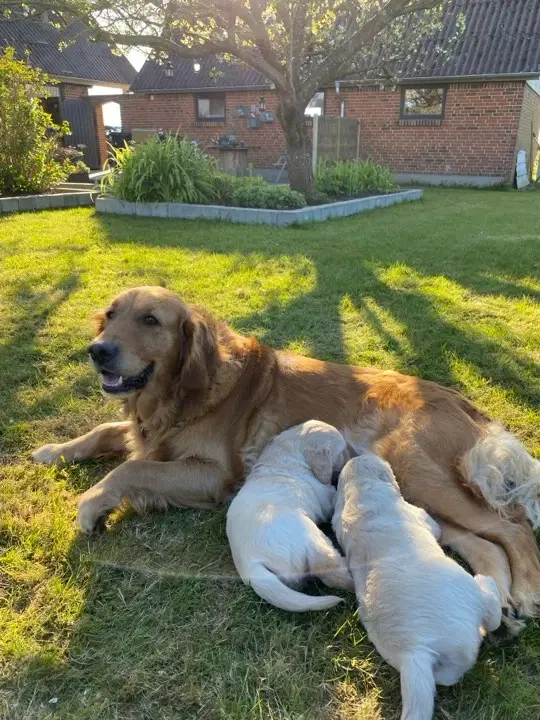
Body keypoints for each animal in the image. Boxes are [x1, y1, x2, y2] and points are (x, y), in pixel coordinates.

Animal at [226, 420, 352, 612]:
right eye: (342, 450)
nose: (350, 456)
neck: (288, 454)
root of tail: (252, 566)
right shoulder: (325, 499)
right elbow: (332, 493)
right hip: (310, 537)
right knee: (331, 571)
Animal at [334, 456, 502, 720]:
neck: (360, 495)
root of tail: (415, 650)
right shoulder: (421, 515)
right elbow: (435, 526)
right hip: (467, 591)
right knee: (491, 612)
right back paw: (487, 584)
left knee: (447, 676)